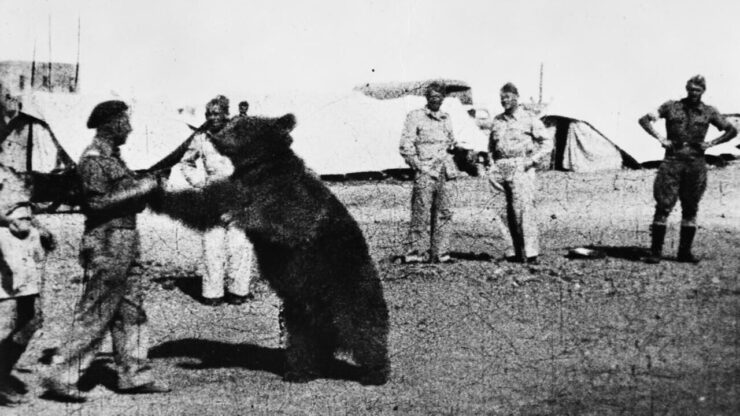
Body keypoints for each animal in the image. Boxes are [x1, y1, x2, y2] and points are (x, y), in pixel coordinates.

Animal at [150, 114, 390, 385]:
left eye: (239, 123)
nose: (213, 128)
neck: (258, 168)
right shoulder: (237, 187)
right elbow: (202, 205)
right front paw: (156, 190)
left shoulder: (287, 195)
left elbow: (284, 220)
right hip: (301, 309)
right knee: (303, 342)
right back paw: (300, 371)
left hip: (346, 287)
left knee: (361, 328)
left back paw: (374, 372)